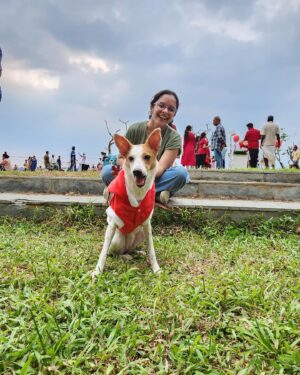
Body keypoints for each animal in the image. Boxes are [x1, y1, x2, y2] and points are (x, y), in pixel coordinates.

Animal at [93, 128, 162, 278]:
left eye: (147, 157)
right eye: (130, 158)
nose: (137, 172)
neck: (137, 191)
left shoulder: (147, 225)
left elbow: (152, 250)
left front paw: (155, 268)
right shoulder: (113, 223)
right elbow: (103, 252)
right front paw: (98, 270)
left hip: (140, 233)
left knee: (131, 249)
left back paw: (137, 252)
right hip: (117, 240)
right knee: (115, 253)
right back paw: (125, 256)